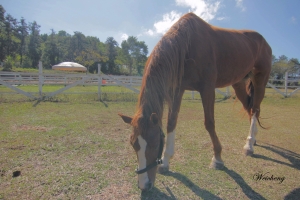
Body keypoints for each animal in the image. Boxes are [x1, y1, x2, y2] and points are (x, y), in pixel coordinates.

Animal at [119, 12, 272, 191]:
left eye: (155, 143)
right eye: (133, 144)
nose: (144, 185)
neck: (187, 45)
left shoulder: (207, 88)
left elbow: (209, 123)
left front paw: (217, 158)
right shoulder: (178, 89)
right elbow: (171, 122)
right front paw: (165, 162)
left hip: (260, 79)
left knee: (255, 110)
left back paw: (249, 146)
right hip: (239, 83)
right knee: (251, 109)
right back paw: (253, 139)